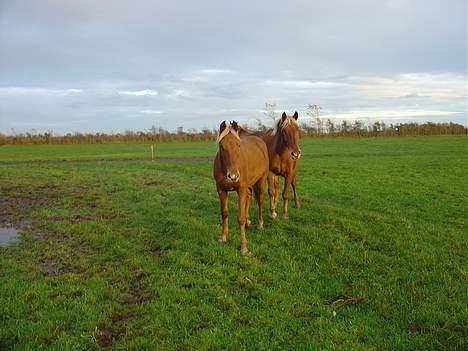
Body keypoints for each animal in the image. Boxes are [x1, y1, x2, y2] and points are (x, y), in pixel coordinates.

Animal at [214, 119, 268, 254]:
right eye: (221, 146)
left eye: (238, 145)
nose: (233, 176)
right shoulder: (221, 190)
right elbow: (224, 213)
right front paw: (223, 237)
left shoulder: (241, 189)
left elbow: (240, 217)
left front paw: (243, 246)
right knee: (249, 197)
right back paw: (249, 222)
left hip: (261, 181)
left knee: (260, 201)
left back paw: (260, 224)